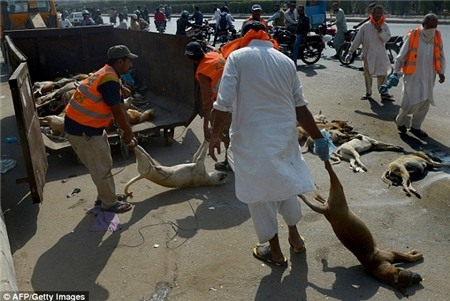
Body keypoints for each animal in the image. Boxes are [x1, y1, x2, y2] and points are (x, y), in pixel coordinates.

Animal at [300, 161, 424, 294]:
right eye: (409, 279)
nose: (420, 278)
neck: (376, 267)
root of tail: (327, 210)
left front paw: (413, 252)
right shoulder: (391, 254)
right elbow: (408, 257)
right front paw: (416, 255)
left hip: (331, 203)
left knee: (322, 199)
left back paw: (317, 194)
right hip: (338, 193)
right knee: (330, 172)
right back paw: (326, 163)